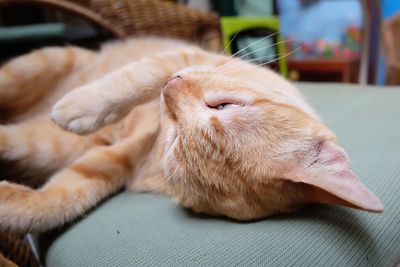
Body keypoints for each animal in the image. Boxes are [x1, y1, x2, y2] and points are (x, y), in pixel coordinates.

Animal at [0, 36, 382, 233]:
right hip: (38, 67)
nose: (170, 89)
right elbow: (138, 77)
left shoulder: (116, 163)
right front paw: (82, 106)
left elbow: (59, 199)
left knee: (18, 139)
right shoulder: (185, 57)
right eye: (223, 106)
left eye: (175, 144)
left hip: (46, 144)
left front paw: (9, 203)